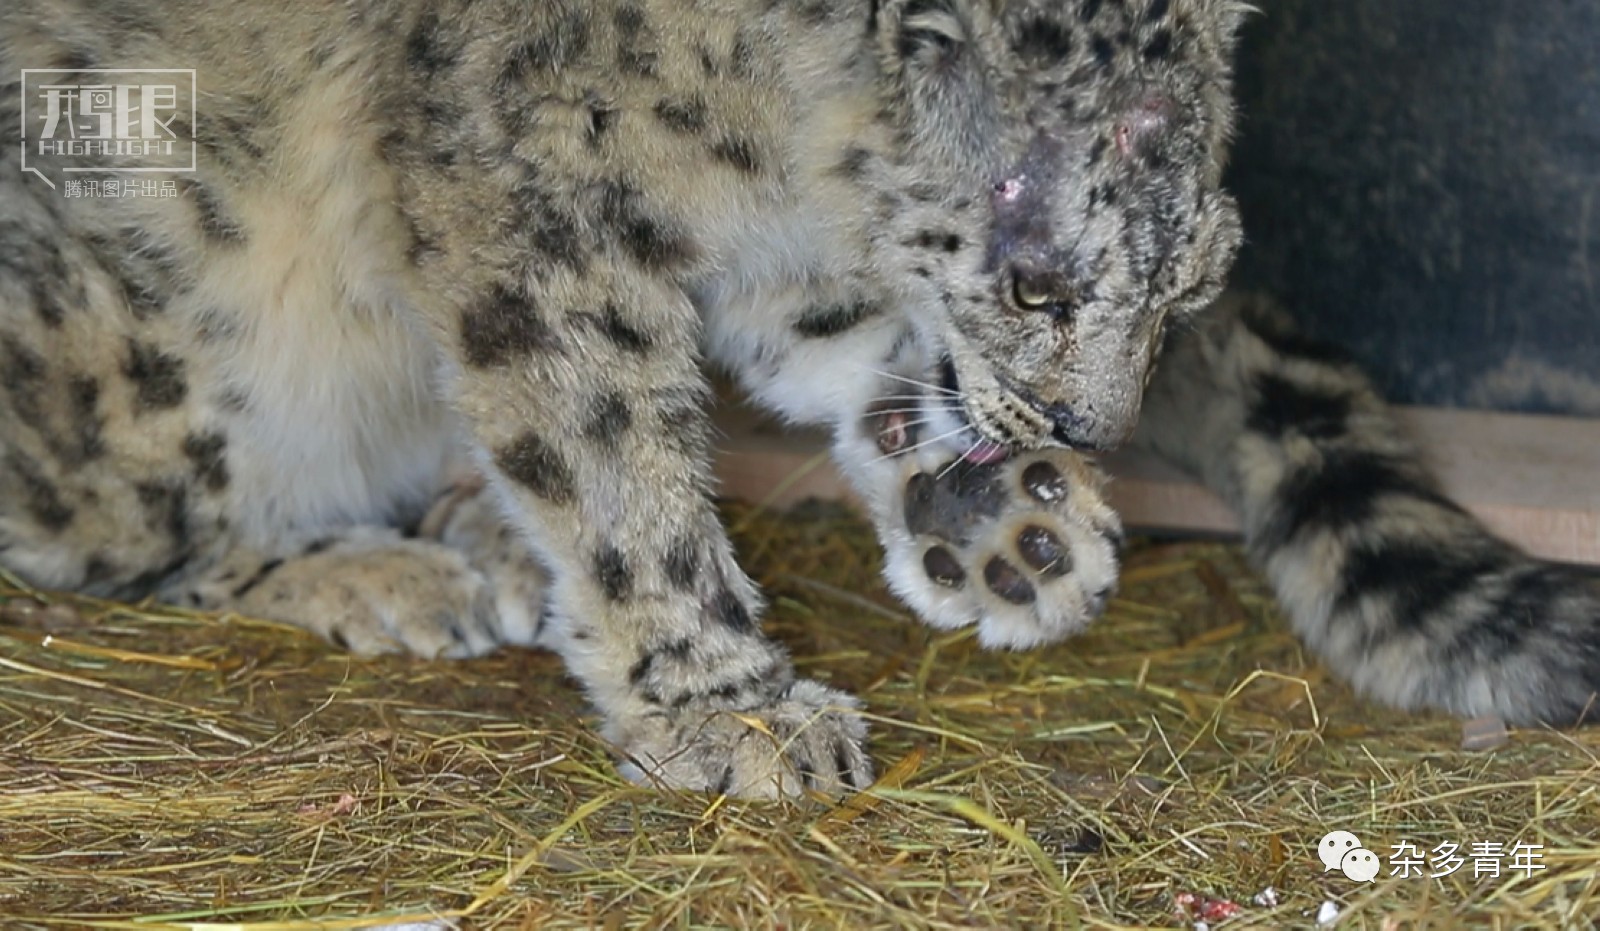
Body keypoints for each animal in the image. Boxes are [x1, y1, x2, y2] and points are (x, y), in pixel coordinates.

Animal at [3, 0, 1600, 799]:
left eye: (1193, 279)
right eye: (1037, 283)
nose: (1093, 437)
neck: (768, 133)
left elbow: (842, 333)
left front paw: (998, 520)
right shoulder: (530, 183)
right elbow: (608, 431)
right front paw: (732, 709)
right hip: (144, 331)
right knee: (116, 533)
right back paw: (391, 573)